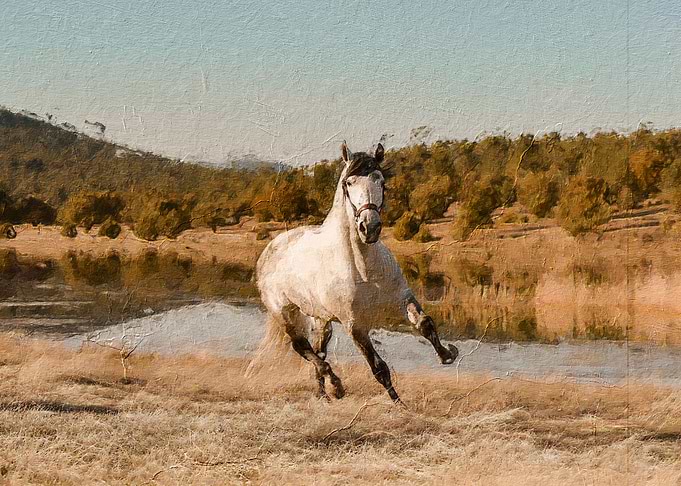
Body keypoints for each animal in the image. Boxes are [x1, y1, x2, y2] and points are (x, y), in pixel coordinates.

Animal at [253, 142, 458, 402]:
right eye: (348, 183)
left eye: (381, 180)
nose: (369, 227)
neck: (363, 268)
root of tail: (271, 248)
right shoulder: (354, 325)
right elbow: (379, 368)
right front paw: (401, 406)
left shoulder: (402, 298)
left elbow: (425, 324)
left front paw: (447, 353)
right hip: (284, 312)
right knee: (303, 348)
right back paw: (336, 386)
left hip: (321, 319)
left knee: (319, 351)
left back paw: (324, 395)